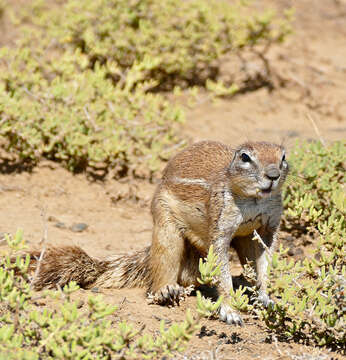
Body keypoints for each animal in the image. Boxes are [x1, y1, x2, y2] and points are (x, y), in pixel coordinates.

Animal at [26, 140, 290, 324]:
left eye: (283, 156)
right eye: (245, 157)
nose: (273, 175)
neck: (254, 201)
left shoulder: (269, 227)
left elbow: (265, 262)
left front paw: (266, 297)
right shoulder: (221, 224)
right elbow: (222, 271)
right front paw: (229, 310)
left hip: (243, 240)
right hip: (165, 226)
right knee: (162, 268)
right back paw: (166, 290)